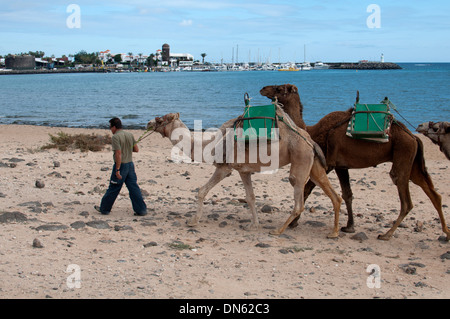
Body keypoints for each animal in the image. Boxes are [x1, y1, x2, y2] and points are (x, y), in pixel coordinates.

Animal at [147, 106, 342, 239]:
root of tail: (309, 140)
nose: (148, 123)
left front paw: (193, 221)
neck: (213, 145)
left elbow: (202, 191)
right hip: (312, 162)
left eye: (161, 119)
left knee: (298, 196)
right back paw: (333, 232)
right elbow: (251, 197)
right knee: (333, 194)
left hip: (300, 157)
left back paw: (278, 230)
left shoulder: (225, 168)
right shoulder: (243, 170)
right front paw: (253, 225)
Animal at [260, 84, 450, 241]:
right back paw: (446, 233)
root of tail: (413, 136)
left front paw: (294, 223)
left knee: (406, 199)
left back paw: (387, 234)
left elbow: (308, 189)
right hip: (413, 163)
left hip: (403, 154)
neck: (311, 131)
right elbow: (348, 194)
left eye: (279, 88)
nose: (263, 89)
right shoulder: (341, 165)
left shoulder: (329, 163)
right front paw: (349, 226)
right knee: (433, 194)